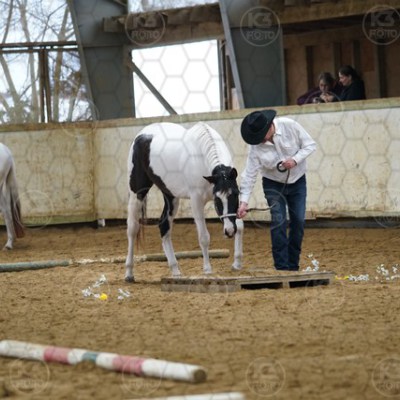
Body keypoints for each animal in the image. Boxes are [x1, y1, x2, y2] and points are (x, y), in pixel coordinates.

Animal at [125, 121, 243, 282]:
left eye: (236, 194)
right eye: (218, 199)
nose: (229, 231)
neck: (201, 158)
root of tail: (141, 135)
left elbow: (240, 226)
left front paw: (237, 263)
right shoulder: (196, 200)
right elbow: (204, 237)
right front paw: (207, 269)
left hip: (170, 195)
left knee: (164, 226)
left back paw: (175, 271)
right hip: (137, 192)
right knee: (132, 228)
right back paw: (129, 272)